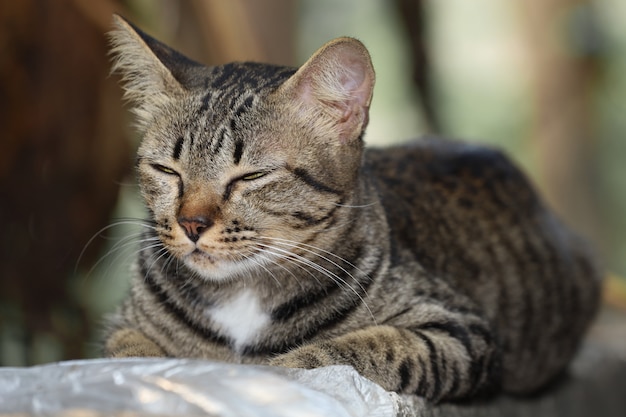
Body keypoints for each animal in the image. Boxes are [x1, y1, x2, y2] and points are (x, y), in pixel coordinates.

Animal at [102, 14, 600, 402]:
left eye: (251, 176)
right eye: (167, 170)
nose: (190, 223)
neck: (243, 293)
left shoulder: (462, 333)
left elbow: (356, 350)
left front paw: (265, 373)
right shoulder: (121, 326)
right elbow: (128, 354)